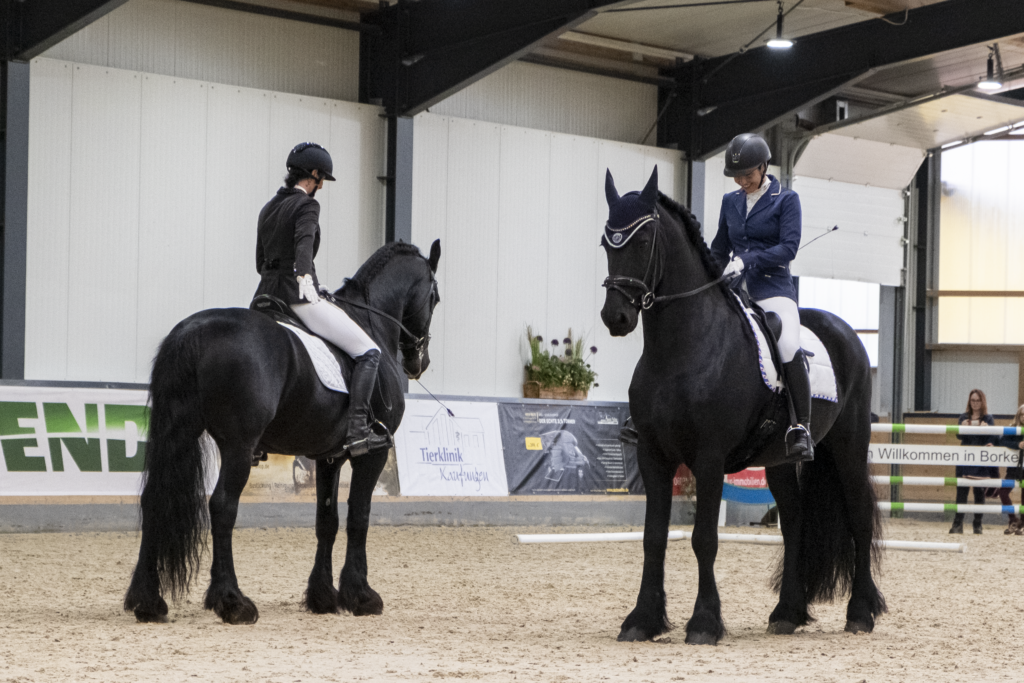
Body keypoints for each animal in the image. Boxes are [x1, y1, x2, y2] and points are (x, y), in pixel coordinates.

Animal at [122, 239, 440, 626]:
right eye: (435, 297)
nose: (418, 363)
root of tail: (194, 330)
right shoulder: (373, 453)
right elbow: (359, 517)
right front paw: (361, 596)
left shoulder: (329, 458)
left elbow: (327, 521)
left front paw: (323, 597)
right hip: (238, 446)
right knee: (222, 506)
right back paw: (233, 602)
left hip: (178, 432)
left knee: (153, 500)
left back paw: (148, 601)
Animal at [598, 166, 880, 647]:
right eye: (605, 241)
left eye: (643, 239)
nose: (615, 317)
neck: (680, 350)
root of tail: (846, 332)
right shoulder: (652, 454)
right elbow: (653, 538)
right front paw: (641, 620)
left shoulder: (709, 458)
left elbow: (704, 539)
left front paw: (704, 623)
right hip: (782, 458)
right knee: (795, 522)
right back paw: (787, 613)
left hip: (848, 447)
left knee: (859, 516)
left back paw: (860, 614)